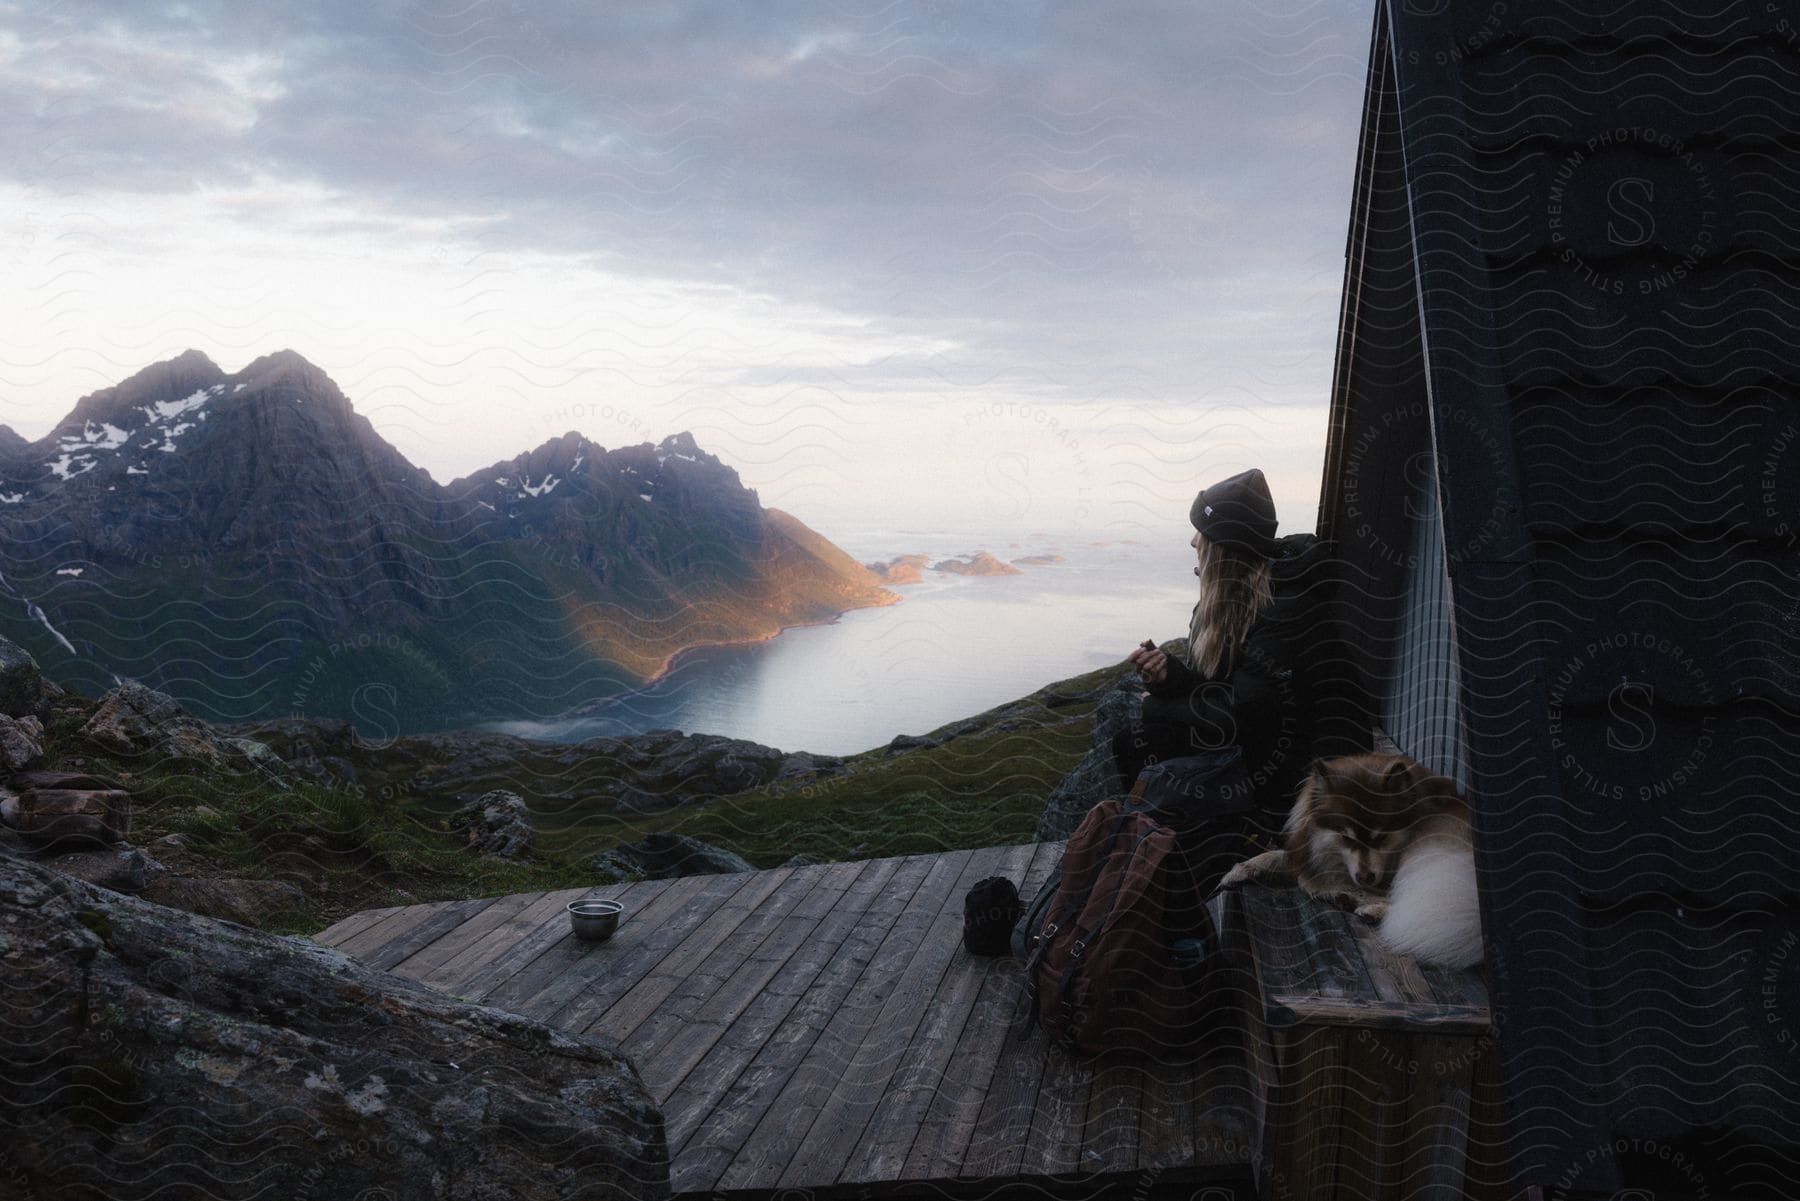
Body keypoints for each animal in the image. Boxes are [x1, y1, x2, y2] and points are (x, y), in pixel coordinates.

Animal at [1216, 756, 1483, 972]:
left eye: (1381, 837)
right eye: (1347, 838)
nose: (1365, 877)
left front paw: (1344, 893)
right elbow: (1277, 857)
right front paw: (1239, 871)